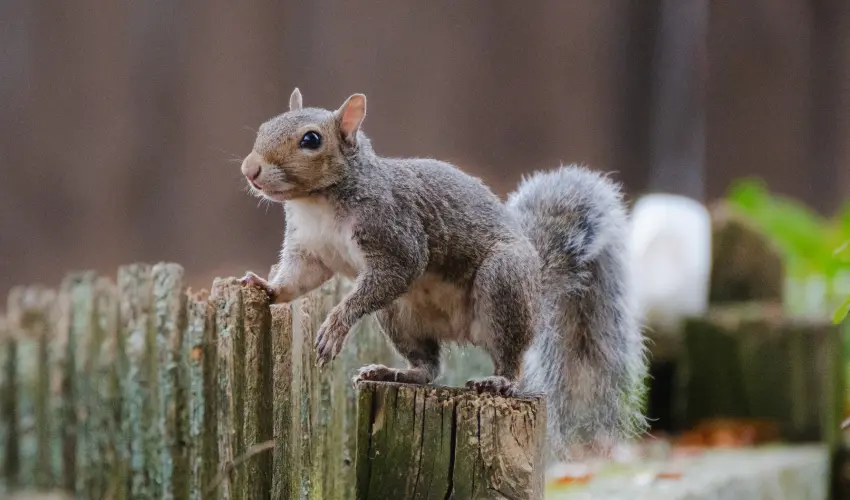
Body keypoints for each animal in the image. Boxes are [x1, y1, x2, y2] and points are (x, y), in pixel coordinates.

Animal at [238, 88, 648, 458]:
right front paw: (266, 287)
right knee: (430, 367)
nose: (249, 169)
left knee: (510, 354)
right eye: (266, 125)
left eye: (311, 139)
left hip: (503, 283)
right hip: (399, 315)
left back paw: (499, 381)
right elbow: (298, 279)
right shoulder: (310, 250)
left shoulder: (397, 236)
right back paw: (396, 373)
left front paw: (335, 326)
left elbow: (397, 270)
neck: (317, 202)